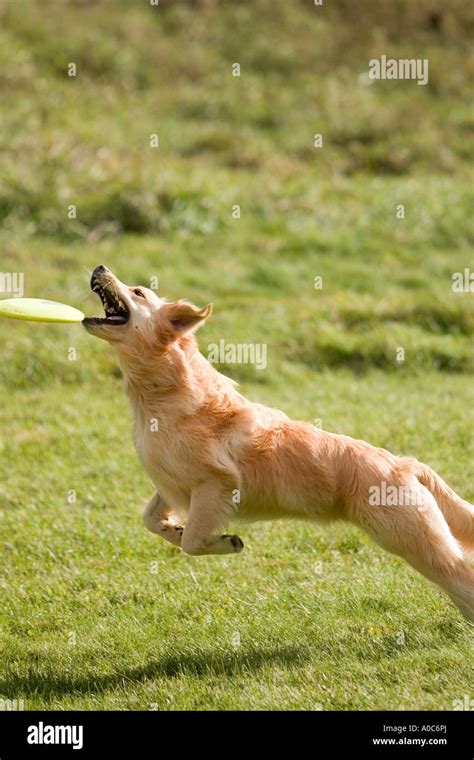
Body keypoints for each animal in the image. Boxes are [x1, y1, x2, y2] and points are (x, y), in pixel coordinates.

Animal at [83, 264, 472, 620]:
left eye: (138, 292)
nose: (100, 267)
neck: (164, 394)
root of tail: (405, 465)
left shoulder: (215, 485)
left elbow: (193, 542)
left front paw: (224, 542)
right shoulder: (171, 484)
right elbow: (151, 519)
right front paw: (173, 530)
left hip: (414, 542)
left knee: (461, 572)